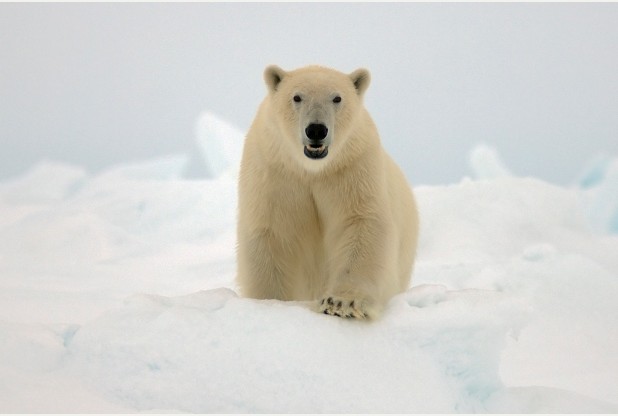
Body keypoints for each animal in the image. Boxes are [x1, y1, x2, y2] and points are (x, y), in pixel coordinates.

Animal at [236, 65, 418, 318]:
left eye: (337, 98)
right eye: (297, 97)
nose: (316, 129)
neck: (312, 169)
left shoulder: (352, 168)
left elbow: (361, 222)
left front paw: (342, 304)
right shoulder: (276, 173)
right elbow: (273, 231)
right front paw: (270, 302)